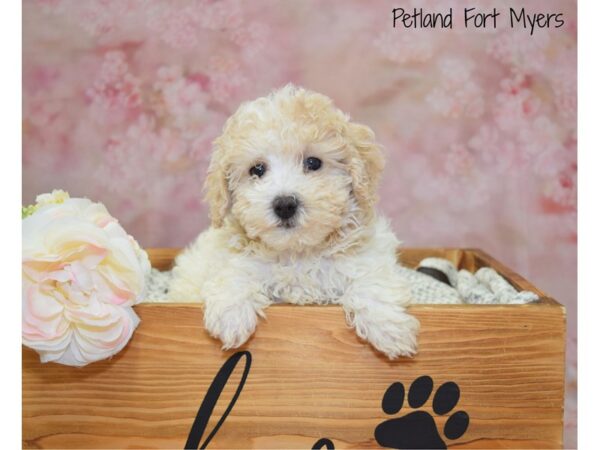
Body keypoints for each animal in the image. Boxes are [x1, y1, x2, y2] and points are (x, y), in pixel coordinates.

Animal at [166, 84, 420, 358]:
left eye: (313, 162)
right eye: (257, 169)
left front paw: (389, 329)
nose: (285, 205)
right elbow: (235, 272)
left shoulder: (369, 256)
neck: (297, 252)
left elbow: (372, 281)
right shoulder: (230, 255)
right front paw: (231, 316)